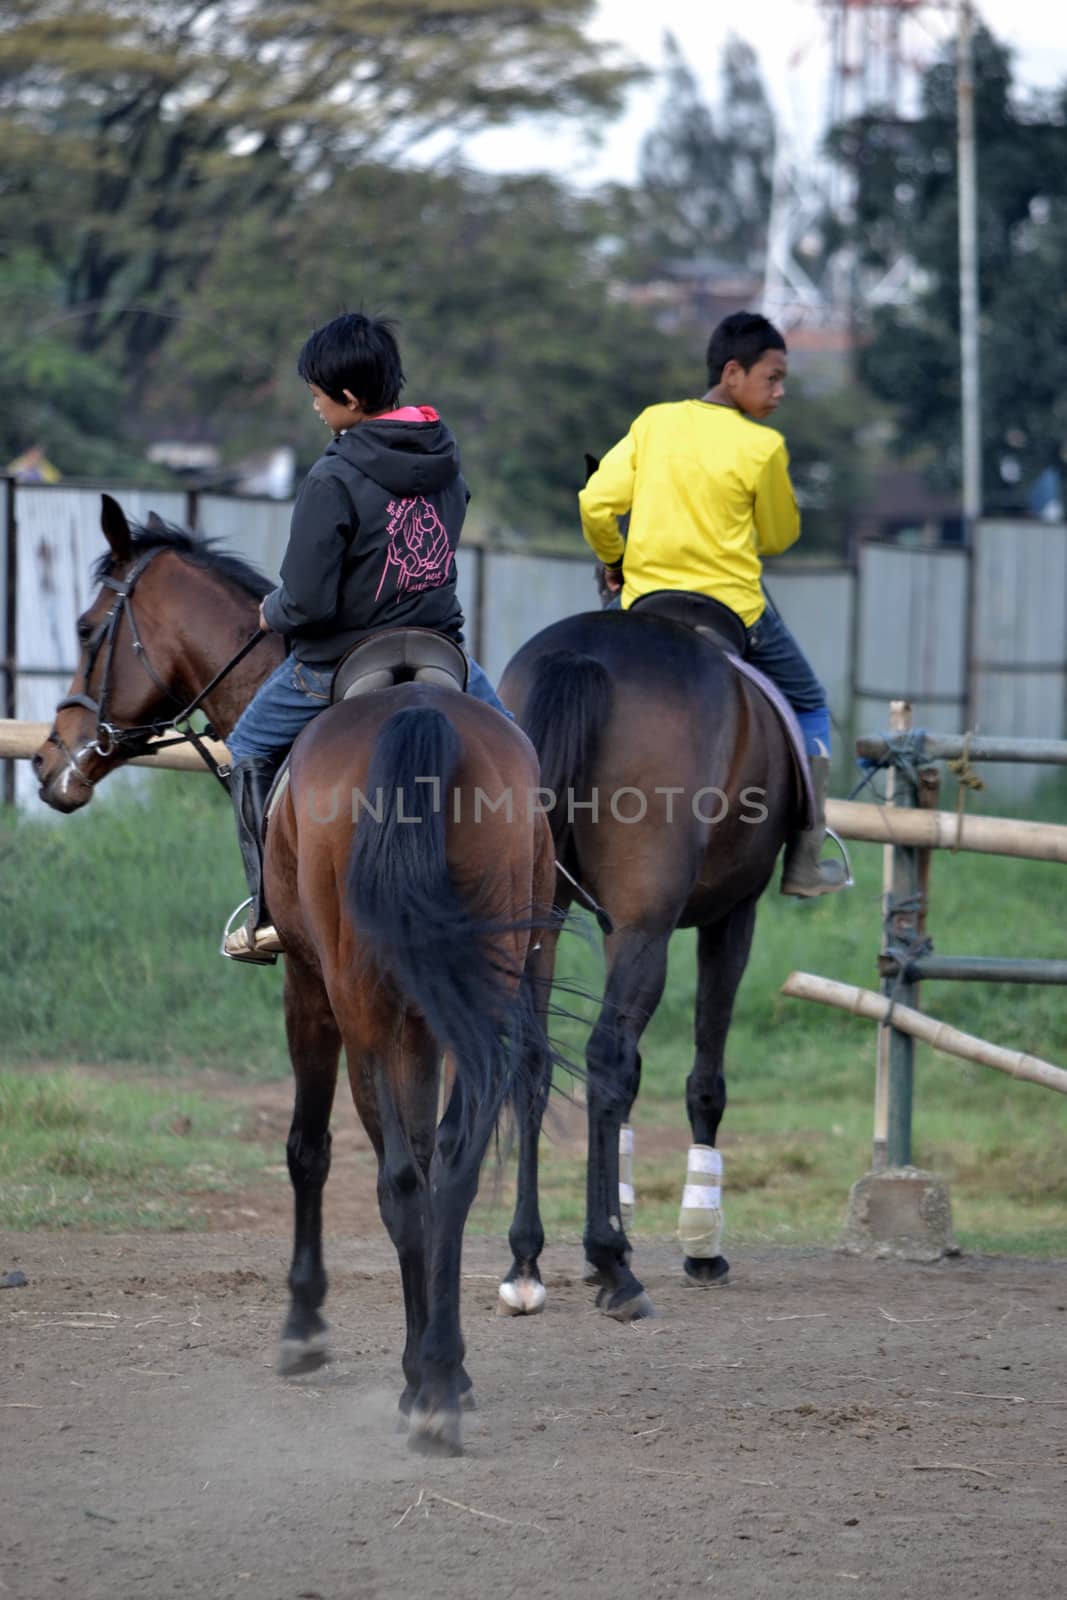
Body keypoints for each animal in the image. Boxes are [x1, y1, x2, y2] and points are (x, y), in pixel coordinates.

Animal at [33, 492, 550, 1459]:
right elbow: (426, 1155)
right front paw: (447, 1362)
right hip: (490, 983)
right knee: (454, 1161)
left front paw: (309, 1328)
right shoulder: (423, 1015)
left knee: (398, 1177)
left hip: (360, 1001)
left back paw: (423, 1392)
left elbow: (310, 1149)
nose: (50, 762)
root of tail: (415, 718)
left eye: (88, 629)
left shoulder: (308, 988)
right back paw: (441, 1373)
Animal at [495, 604, 796, 1318]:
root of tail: (586, 654)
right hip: (649, 925)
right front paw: (698, 1244)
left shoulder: (608, 924)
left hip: (541, 913)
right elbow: (703, 1078)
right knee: (603, 1055)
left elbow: (628, 1076)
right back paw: (614, 1269)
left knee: (535, 1056)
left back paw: (527, 1261)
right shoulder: (730, 917)